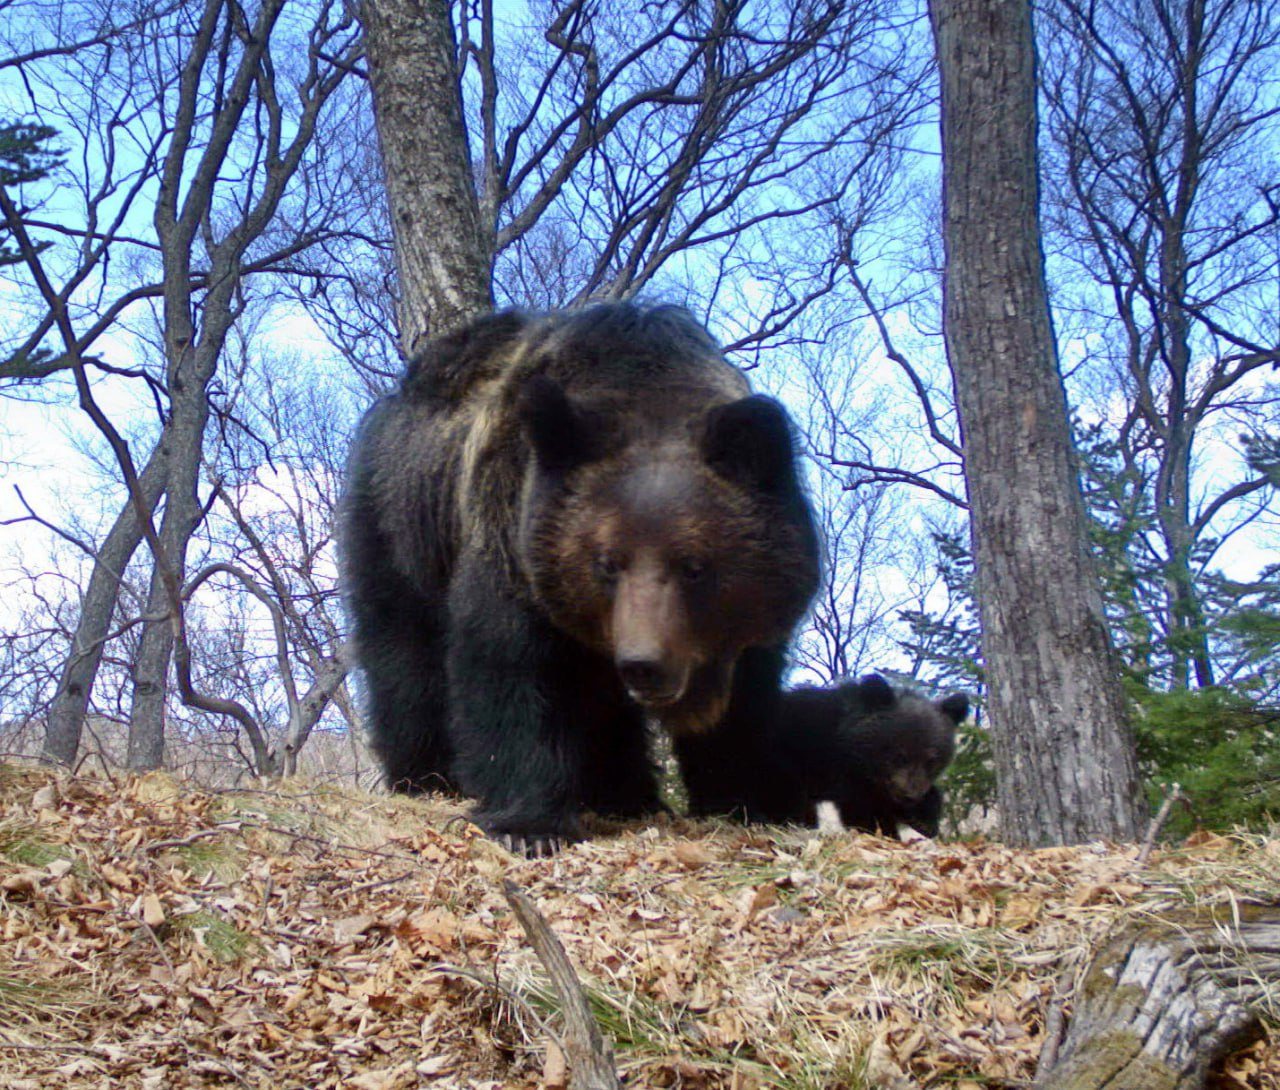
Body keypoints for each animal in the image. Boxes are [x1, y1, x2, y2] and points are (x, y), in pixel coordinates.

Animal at [340, 301, 819, 854]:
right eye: (607, 561)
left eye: (695, 566)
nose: (643, 665)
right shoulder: (514, 534)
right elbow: (511, 665)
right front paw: (527, 825)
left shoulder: (749, 622)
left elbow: (744, 702)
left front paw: (746, 797)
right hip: (403, 521)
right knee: (402, 648)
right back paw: (426, 775)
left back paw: (626, 794)